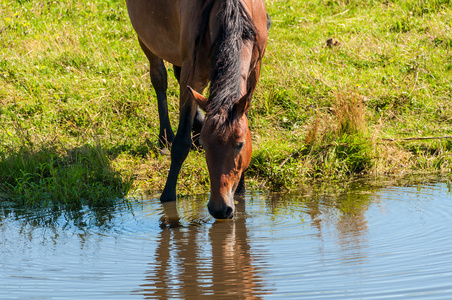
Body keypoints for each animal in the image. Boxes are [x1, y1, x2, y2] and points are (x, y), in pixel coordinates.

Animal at [126, 0, 268, 218]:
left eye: (240, 144)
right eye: (206, 144)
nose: (220, 209)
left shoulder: (254, 71)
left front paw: (240, 191)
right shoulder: (192, 75)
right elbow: (180, 144)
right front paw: (168, 196)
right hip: (147, 40)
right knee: (159, 78)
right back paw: (165, 136)